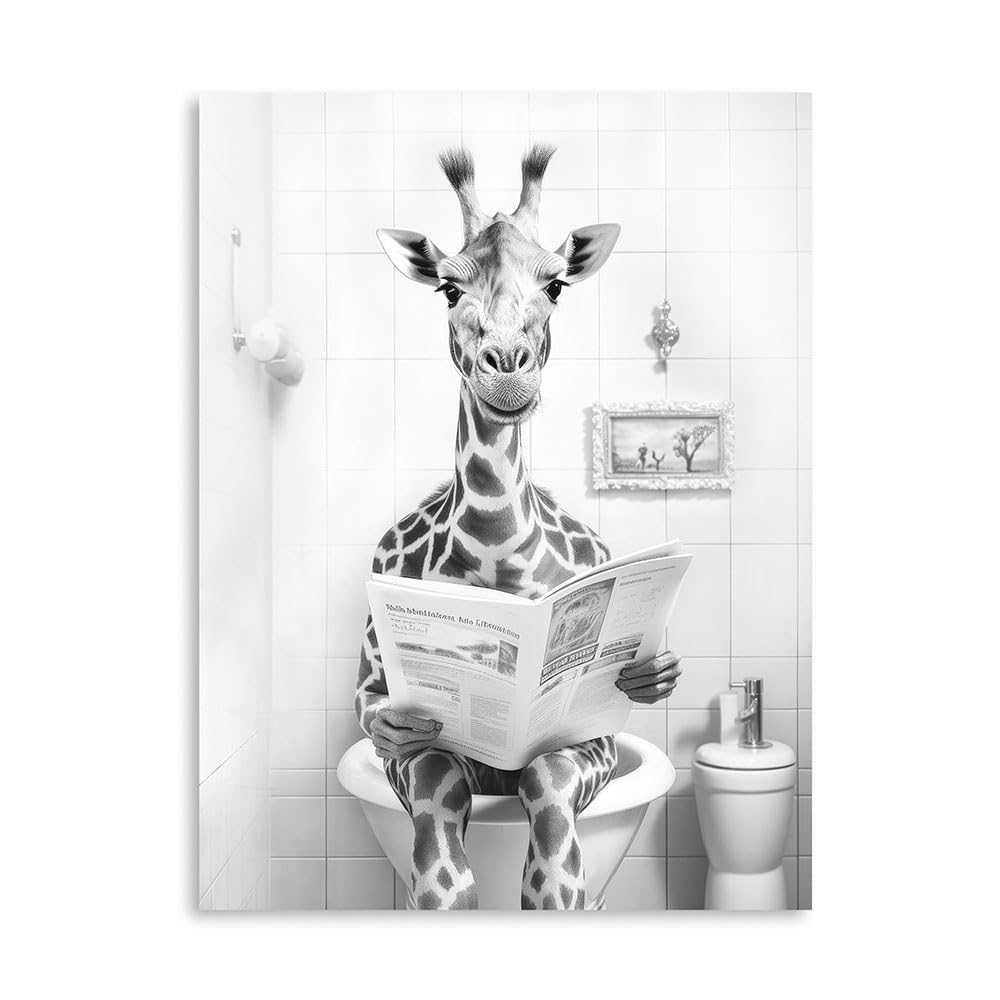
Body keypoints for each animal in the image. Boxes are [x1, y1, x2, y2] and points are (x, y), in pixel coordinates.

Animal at [353, 145, 683, 910]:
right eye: (447, 289)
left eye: (557, 284)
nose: (507, 374)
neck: (499, 553)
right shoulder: (409, 738)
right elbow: (441, 869)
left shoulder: (583, 743)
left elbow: (555, 855)